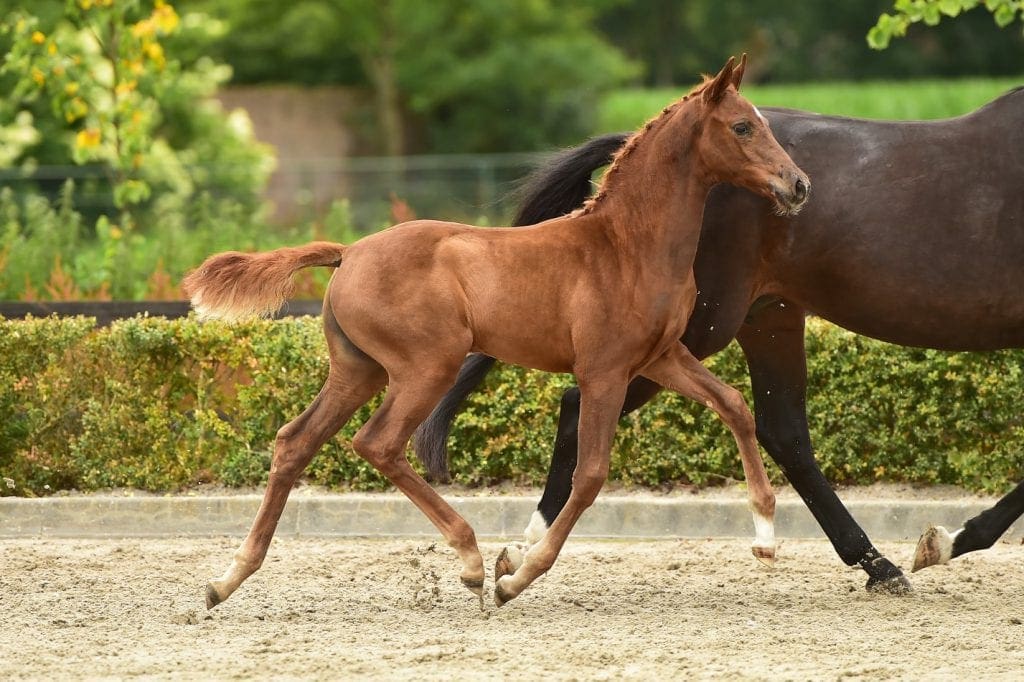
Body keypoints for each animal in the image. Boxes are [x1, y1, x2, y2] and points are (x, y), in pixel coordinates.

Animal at [182, 57, 809, 609]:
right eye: (742, 126)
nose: (798, 185)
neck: (626, 247)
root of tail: (348, 252)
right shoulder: (604, 371)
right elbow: (590, 475)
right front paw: (516, 577)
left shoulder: (661, 356)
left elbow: (734, 404)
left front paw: (765, 536)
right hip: (426, 367)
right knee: (377, 443)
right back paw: (470, 561)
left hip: (359, 371)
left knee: (295, 442)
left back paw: (226, 580)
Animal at [414, 86, 1024, 595]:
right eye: (741, 129)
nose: (798, 187)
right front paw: (948, 541)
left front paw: (943, 542)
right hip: (700, 329)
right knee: (579, 408)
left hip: (767, 318)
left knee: (782, 431)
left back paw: (875, 564)